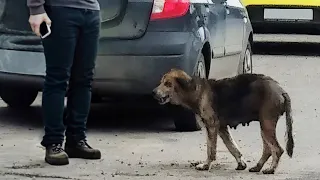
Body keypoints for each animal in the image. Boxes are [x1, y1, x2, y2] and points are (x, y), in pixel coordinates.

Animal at [152, 68, 296, 174]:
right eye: (161, 82)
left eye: (167, 84)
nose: (153, 92)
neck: (196, 90)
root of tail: (281, 90)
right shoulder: (221, 128)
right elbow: (232, 147)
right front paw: (241, 163)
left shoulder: (211, 126)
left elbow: (210, 150)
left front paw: (205, 165)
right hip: (264, 125)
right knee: (268, 150)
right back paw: (258, 167)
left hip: (266, 124)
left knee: (277, 149)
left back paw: (270, 169)